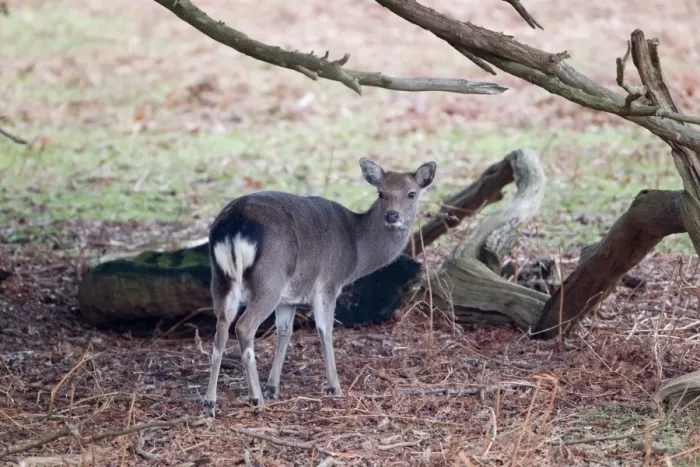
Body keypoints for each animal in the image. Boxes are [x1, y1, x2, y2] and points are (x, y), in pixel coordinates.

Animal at [202, 157, 437, 417]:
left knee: (221, 328)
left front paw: (273, 386)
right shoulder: (329, 284)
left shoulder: (289, 298)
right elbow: (325, 330)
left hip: (221, 280)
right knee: (244, 327)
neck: (357, 251)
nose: (392, 216)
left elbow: (285, 331)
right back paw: (256, 398)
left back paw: (210, 403)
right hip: (268, 281)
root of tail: (236, 224)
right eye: (381, 193)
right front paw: (335, 387)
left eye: (411, 193)